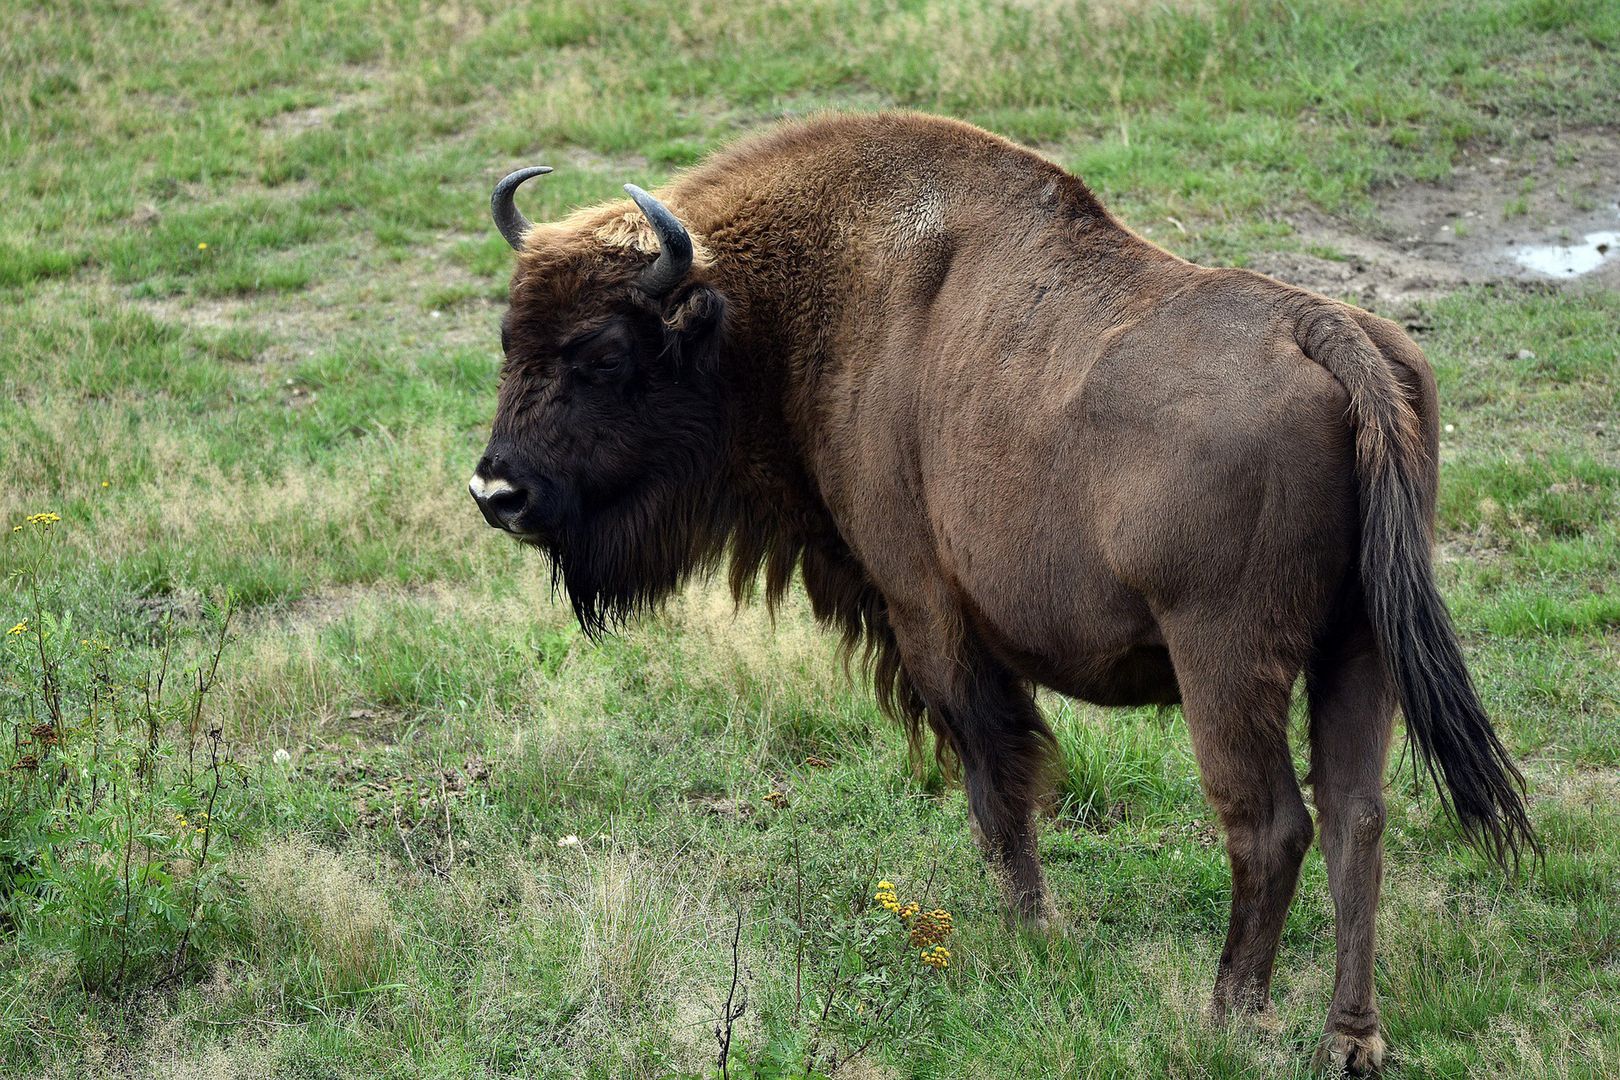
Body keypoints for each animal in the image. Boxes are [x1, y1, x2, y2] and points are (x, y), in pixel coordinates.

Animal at [466, 110, 1529, 1075]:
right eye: (509, 340)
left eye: (604, 353)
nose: (496, 491)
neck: (799, 301)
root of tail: (1329, 330)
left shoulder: (926, 611)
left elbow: (994, 778)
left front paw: (1033, 937)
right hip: (1361, 647)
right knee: (1357, 817)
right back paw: (1350, 1040)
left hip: (1226, 662)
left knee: (1270, 824)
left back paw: (1228, 1014)